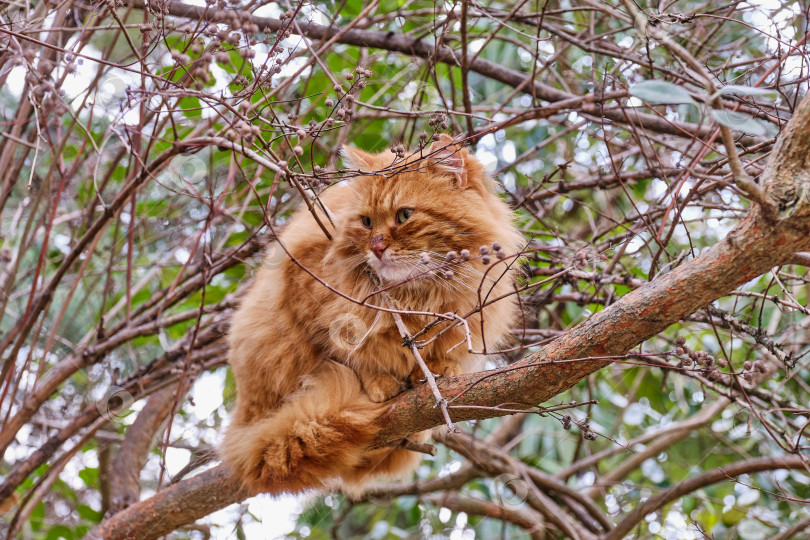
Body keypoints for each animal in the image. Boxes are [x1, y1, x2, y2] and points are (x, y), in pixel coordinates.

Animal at [218, 134, 520, 494]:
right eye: (366, 222)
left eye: (404, 215)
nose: (376, 247)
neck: (414, 295)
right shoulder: (308, 298)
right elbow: (352, 357)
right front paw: (379, 382)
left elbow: (441, 352)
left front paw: (437, 369)